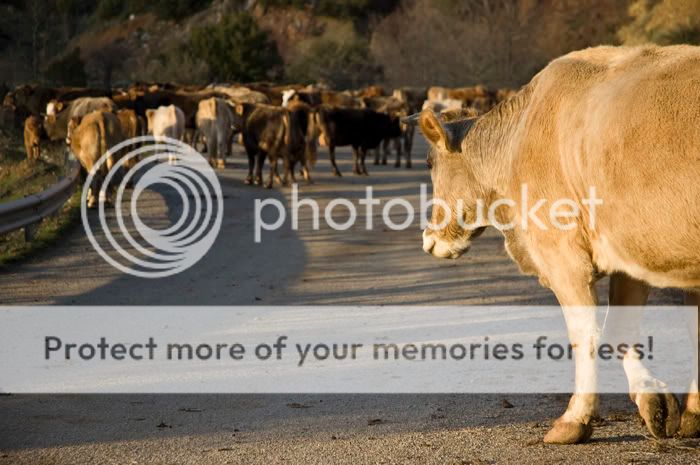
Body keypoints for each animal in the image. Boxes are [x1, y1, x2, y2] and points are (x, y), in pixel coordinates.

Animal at [418, 45, 696, 444]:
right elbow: (624, 329)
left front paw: (574, 419)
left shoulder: (563, 257)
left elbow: (588, 335)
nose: (428, 238)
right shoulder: (633, 252)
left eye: (429, 162)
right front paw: (658, 403)